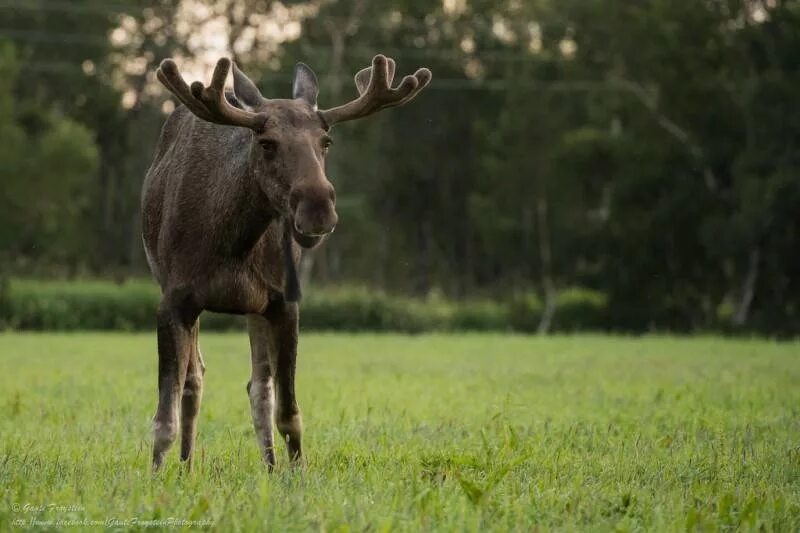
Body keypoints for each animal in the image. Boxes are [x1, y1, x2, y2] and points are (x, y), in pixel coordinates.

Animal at [142, 55, 432, 470]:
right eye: (266, 143)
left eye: (326, 141)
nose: (318, 207)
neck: (234, 244)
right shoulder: (174, 298)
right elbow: (165, 415)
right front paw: (155, 477)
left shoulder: (283, 301)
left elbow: (288, 411)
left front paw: (296, 474)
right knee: (195, 381)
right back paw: (186, 466)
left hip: (255, 307)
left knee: (258, 387)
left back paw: (268, 465)